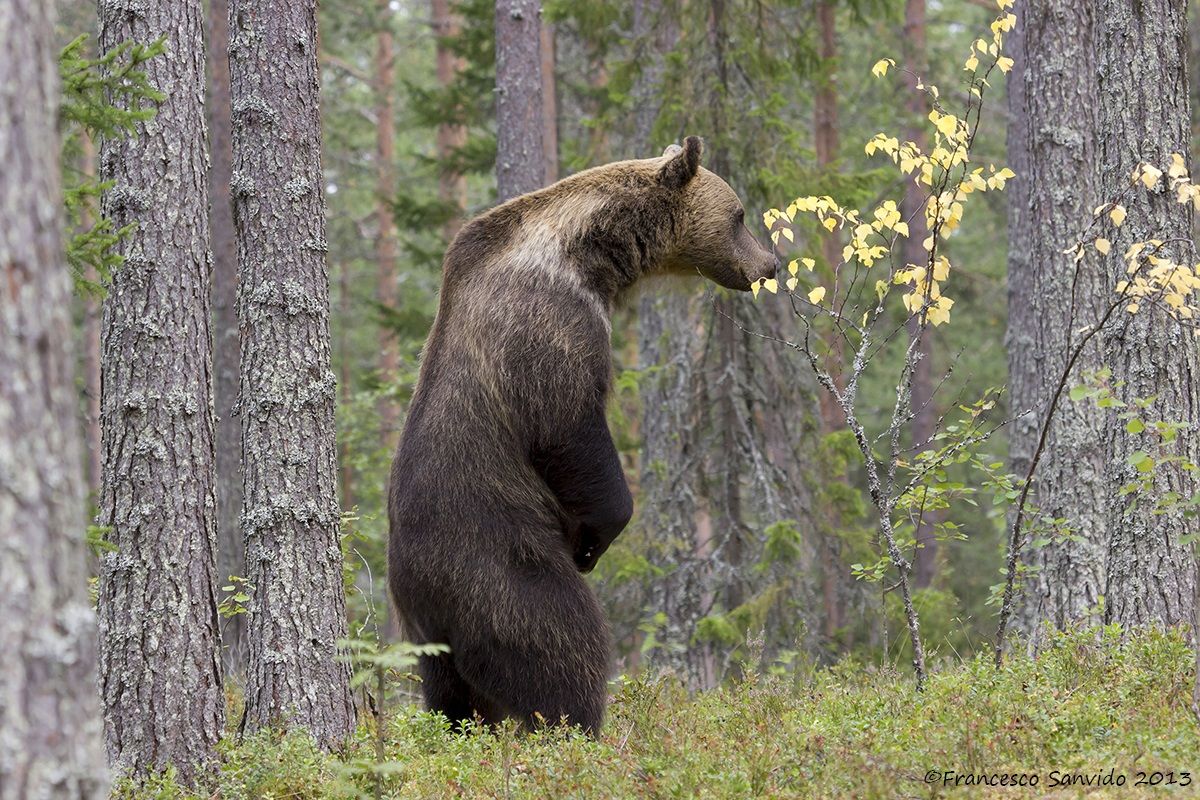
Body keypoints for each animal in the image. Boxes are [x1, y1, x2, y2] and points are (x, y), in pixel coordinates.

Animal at [387, 136, 778, 733]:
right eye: (739, 215)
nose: (769, 264)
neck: (593, 253)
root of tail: (422, 592)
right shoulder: (552, 327)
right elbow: (571, 430)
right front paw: (600, 533)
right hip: (496, 564)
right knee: (563, 643)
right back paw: (579, 725)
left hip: (428, 640)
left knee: (452, 700)